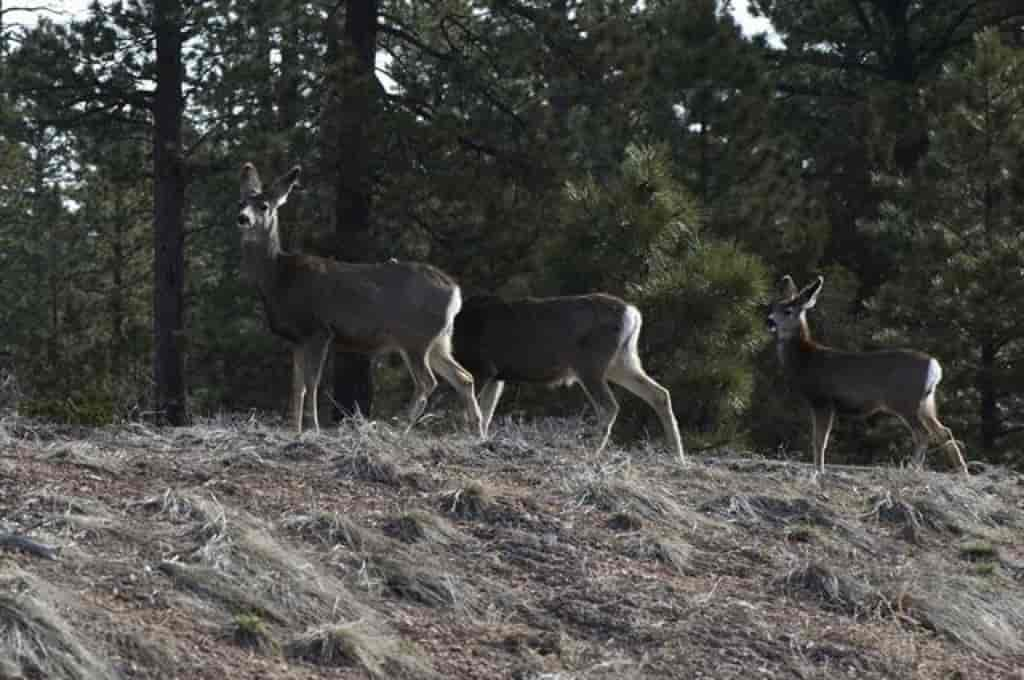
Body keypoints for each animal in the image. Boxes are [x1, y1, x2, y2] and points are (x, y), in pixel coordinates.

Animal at [235, 161, 483, 432]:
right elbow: (297, 386)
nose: (242, 218)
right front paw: (295, 429)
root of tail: (456, 292)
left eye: (264, 206)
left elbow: (312, 383)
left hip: (415, 336)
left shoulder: (319, 329)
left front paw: (314, 428)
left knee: (428, 382)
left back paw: (399, 427)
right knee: (464, 377)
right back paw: (477, 432)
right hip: (439, 339)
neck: (279, 277)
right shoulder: (297, 338)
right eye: (240, 202)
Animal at [452, 292, 684, 462]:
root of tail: (632, 314)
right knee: (659, 393)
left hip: (590, 363)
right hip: (622, 360)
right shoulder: (497, 375)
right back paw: (677, 455)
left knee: (610, 405)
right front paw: (481, 441)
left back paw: (592, 451)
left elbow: (472, 407)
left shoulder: (483, 368)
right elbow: (486, 411)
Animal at [770, 274, 966, 475]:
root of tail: (935, 367)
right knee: (943, 431)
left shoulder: (822, 400)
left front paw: (819, 470)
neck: (806, 360)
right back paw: (963, 472)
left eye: (788, 311)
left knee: (923, 433)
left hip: (904, 400)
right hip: (926, 402)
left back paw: (913, 468)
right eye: (773, 307)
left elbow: (820, 441)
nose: (770, 321)